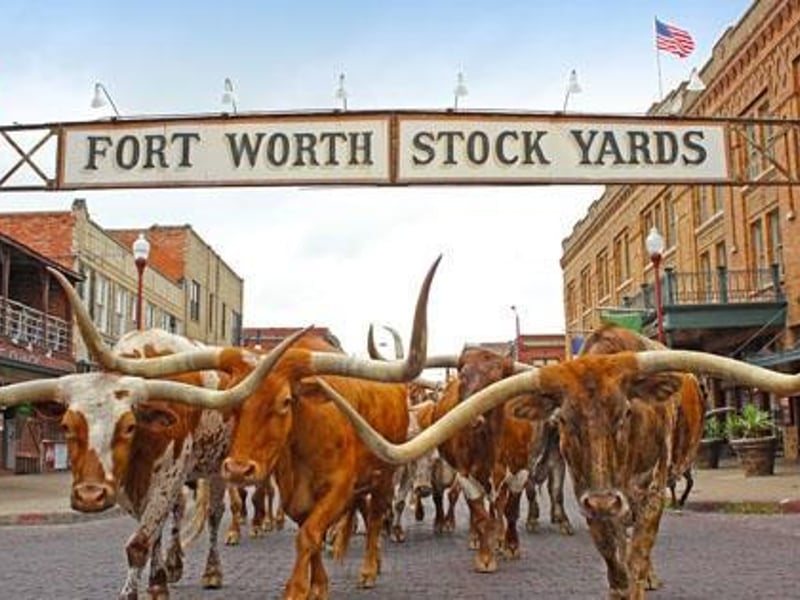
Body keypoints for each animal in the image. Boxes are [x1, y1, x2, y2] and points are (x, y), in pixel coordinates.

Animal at [0, 269, 302, 600]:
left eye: (129, 426)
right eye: (66, 425)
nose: (90, 496)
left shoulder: (166, 476)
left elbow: (140, 542)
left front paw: (140, 589)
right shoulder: (127, 485)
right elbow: (153, 532)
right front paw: (158, 581)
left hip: (218, 467)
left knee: (215, 513)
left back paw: (212, 571)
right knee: (180, 509)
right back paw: (173, 565)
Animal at [319, 339, 800, 599]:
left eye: (499, 374)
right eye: (461, 372)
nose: (468, 411)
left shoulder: (631, 489)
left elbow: (514, 509)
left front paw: (510, 543)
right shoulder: (471, 476)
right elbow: (480, 513)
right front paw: (486, 553)